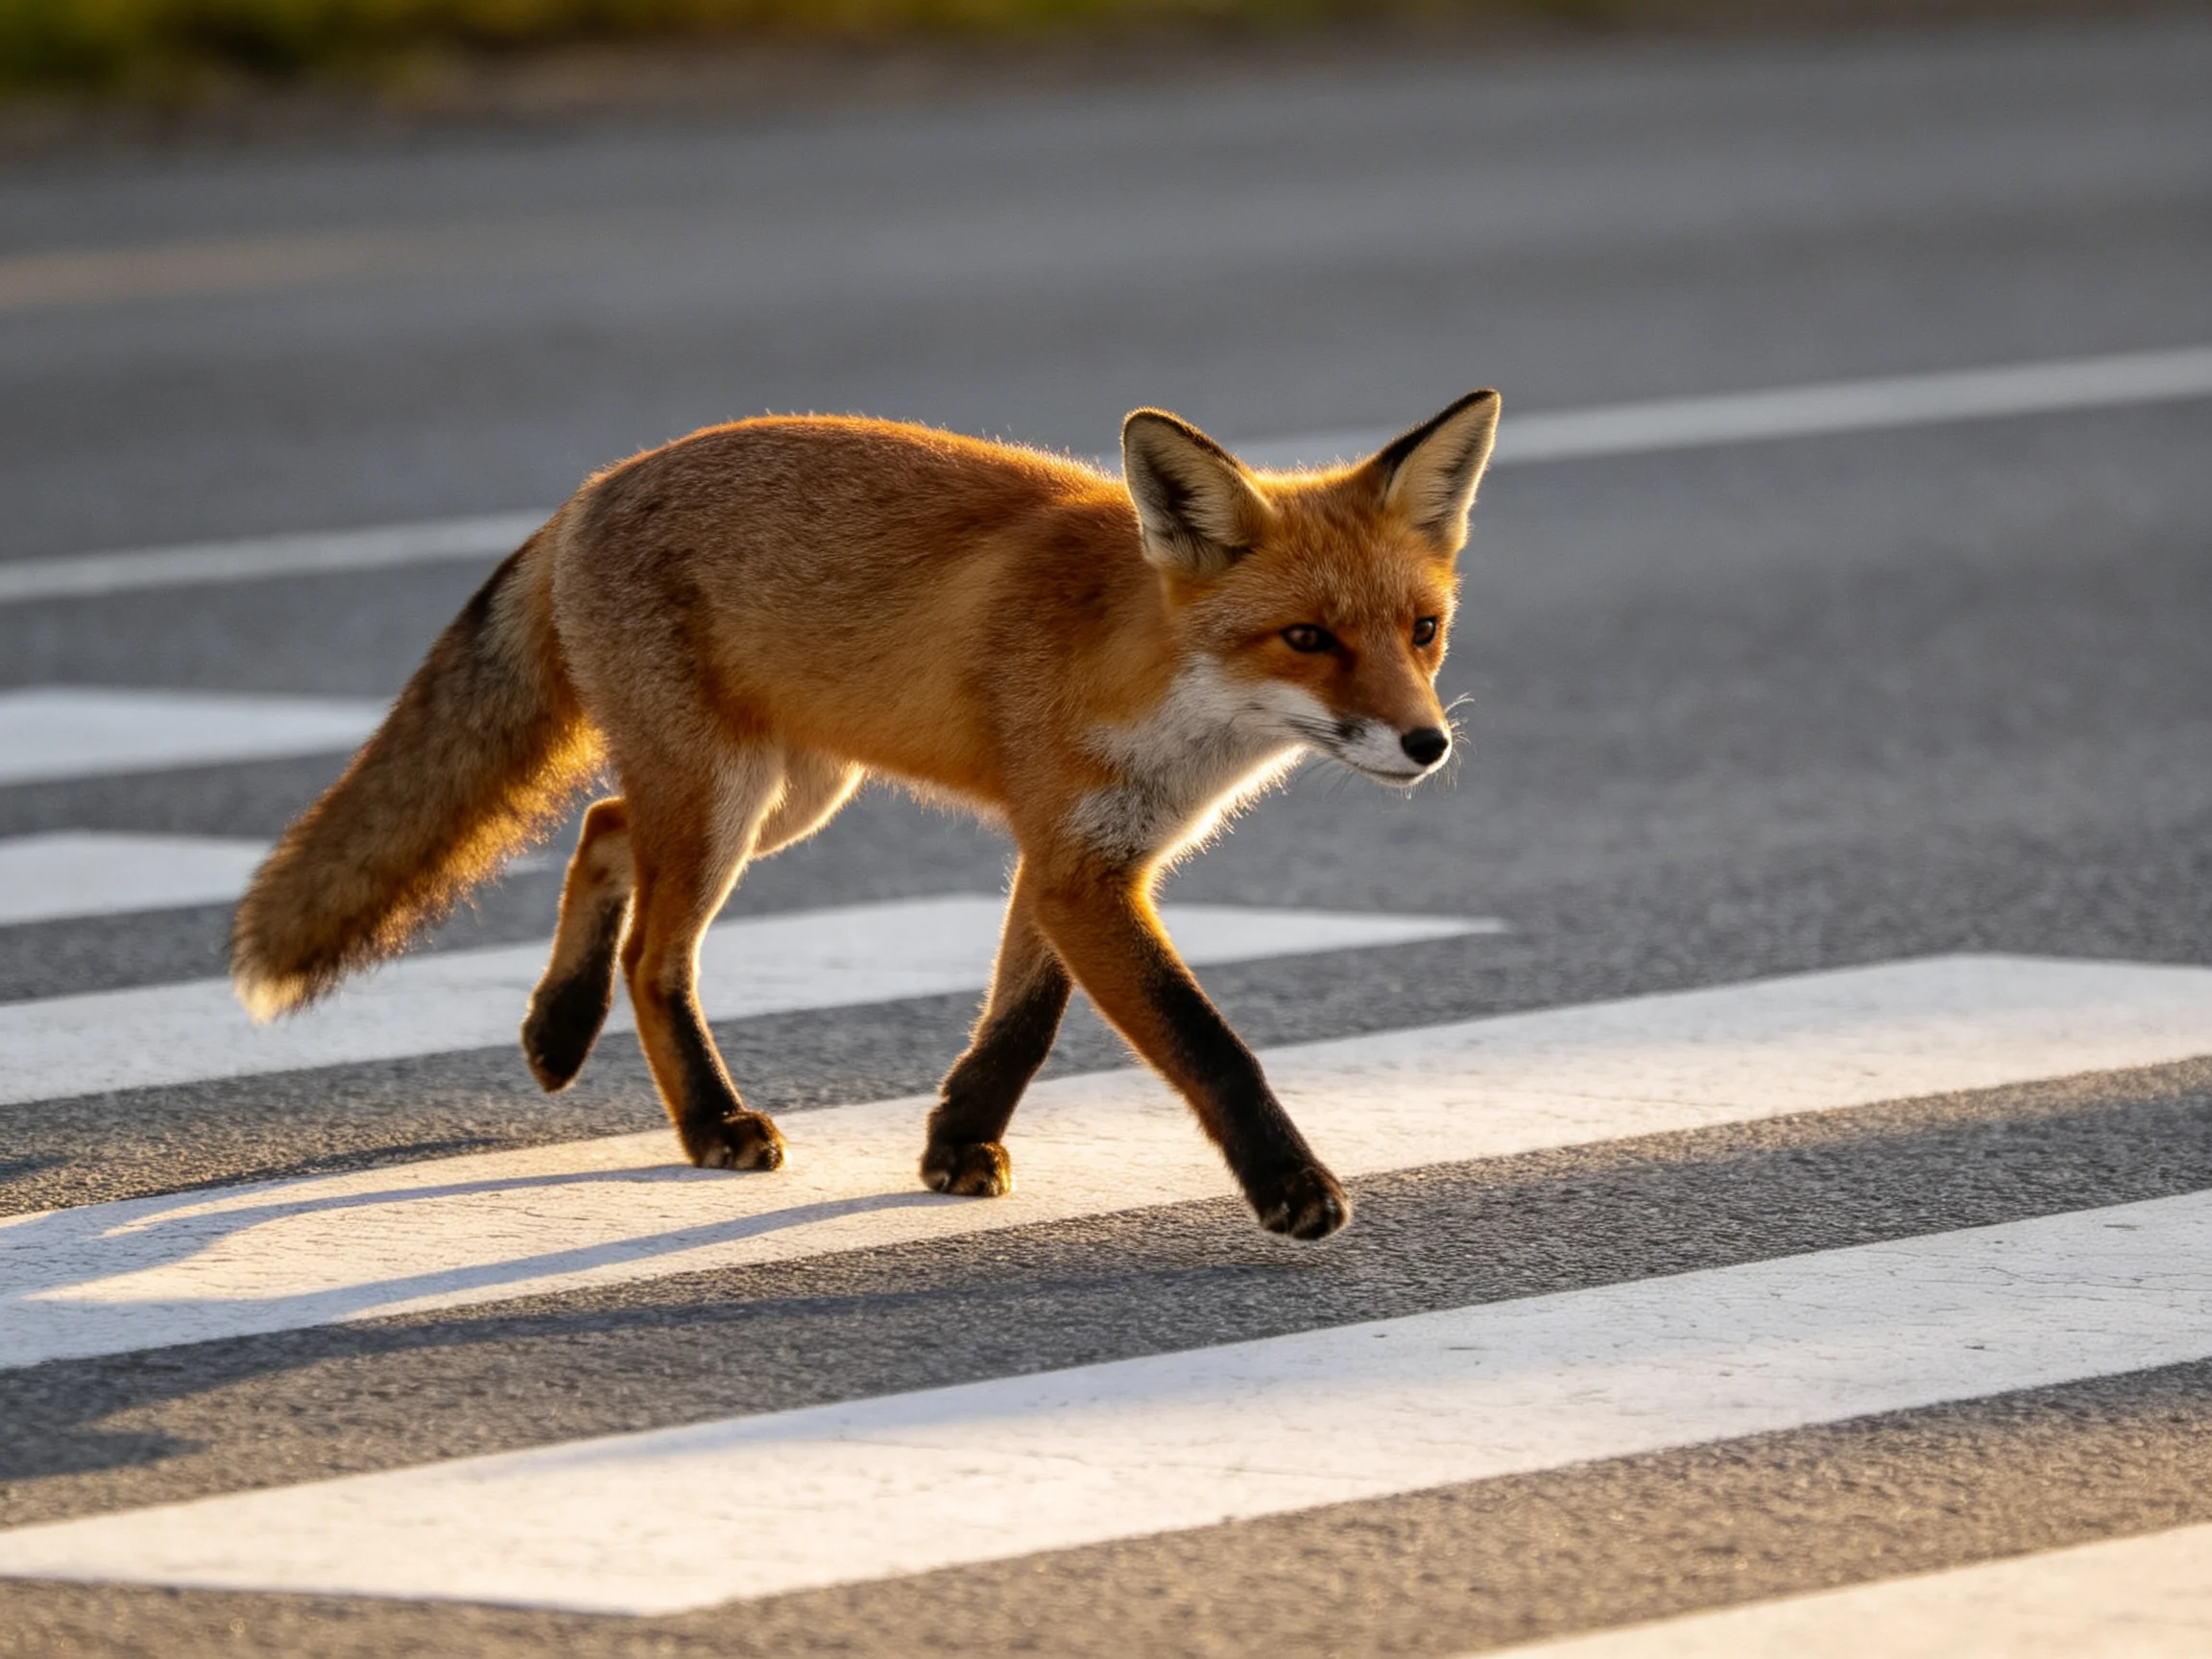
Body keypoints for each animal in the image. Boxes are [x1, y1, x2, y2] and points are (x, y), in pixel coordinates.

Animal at [230, 388, 1500, 1242]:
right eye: (1308, 638)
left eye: (1423, 631)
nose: (1428, 745)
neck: (1146, 677)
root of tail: (596, 484)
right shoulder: (1080, 864)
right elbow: (1208, 1045)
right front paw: (1291, 1187)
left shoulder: (1075, 857)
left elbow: (1021, 1022)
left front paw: (959, 1140)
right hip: (727, 801)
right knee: (652, 950)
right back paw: (708, 1122)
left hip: (785, 795)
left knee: (600, 826)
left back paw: (557, 1026)